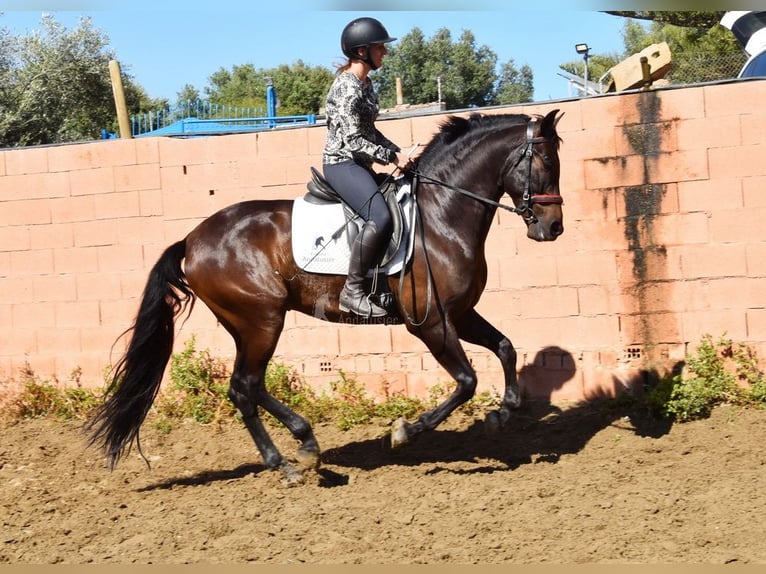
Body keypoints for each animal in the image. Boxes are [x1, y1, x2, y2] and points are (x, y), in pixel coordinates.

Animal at [87, 108, 565, 485]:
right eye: (544, 159)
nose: (553, 228)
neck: (441, 215)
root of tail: (190, 240)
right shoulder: (429, 323)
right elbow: (466, 381)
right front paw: (405, 431)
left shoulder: (460, 314)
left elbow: (505, 348)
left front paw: (502, 413)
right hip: (262, 320)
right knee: (246, 385)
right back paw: (296, 455)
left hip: (247, 324)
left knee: (245, 388)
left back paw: (295, 453)